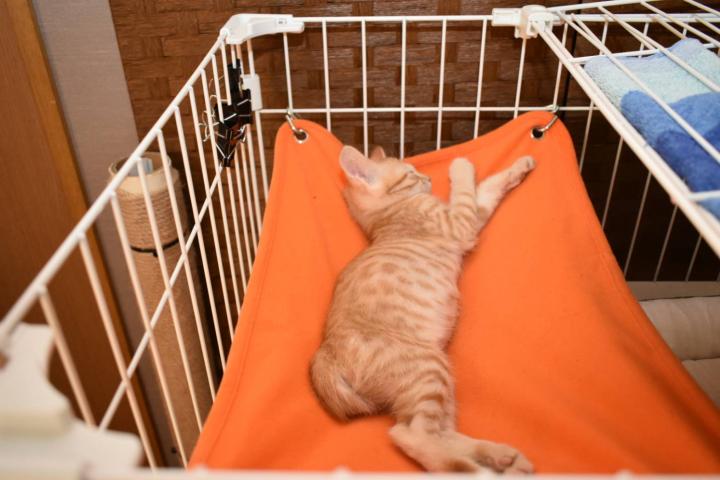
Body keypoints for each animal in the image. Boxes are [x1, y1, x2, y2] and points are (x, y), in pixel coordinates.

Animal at [310, 144, 535, 473]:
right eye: (411, 174)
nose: (428, 178)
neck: (388, 215)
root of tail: (326, 357)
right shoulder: (459, 223)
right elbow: (467, 191)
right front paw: (460, 166)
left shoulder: (470, 216)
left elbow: (487, 188)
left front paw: (518, 166)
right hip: (428, 368)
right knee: (410, 436)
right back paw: (479, 470)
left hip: (440, 380)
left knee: (441, 433)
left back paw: (501, 457)